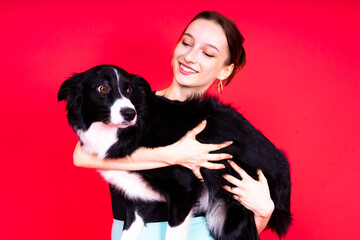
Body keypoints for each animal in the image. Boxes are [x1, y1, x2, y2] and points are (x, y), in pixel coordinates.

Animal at [57, 64, 292, 240]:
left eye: (129, 90)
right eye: (102, 89)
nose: (130, 113)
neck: (130, 133)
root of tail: (282, 165)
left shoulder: (183, 192)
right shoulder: (137, 199)